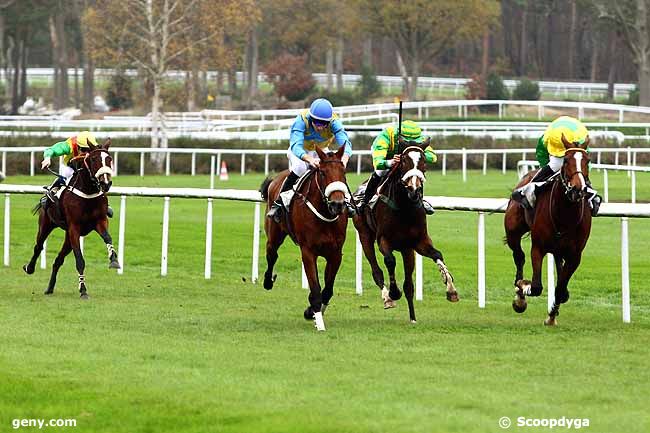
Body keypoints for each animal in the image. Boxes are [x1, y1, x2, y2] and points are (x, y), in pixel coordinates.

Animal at [23, 140, 119, 298]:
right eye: (93, 159)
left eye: (109, 159)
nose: (106, 183)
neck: (88, 193)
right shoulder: (74, 227)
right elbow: (80, 260)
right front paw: (83, 290)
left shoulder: (100, 221)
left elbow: (108, 238)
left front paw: (114, 260)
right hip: (47, 224)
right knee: (39, 246)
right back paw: (29, 268)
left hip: (68, 237)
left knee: (58, 260)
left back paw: (49, 288)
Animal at [256, 145, 350, 330]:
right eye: (322, 173)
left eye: (343, 171)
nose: (337, 204)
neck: (324, 213)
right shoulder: (308, 252)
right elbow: (315, 288)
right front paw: (318, 321)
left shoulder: (335, 253)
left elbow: (327, 289)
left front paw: (311, 311)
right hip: (274, 235)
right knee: (272, 255)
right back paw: (268, 281)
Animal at [352, 137, 458, 322]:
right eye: (403, 161)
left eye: (423, 162)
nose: (414, 189)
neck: (404, 208)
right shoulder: (383, 240)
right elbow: (389, 261)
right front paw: (394, 293)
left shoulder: (418, 242)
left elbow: (437, 255)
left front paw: (451, 289)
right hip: (365, 235)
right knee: (376, 270)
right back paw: (387, 298)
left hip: (407, 250)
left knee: (409, 285)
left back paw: (412, 318)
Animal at [504, 135, 588, 324]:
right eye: (566, 160)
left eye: (588, 161)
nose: (577, 189)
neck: (565, 215)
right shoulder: (538, 247)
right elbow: (535, 287)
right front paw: (521, 293)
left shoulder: (575, 256)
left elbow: (561, 291)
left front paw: (551, 316)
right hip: (512, 231)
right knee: (519, 256)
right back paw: (519, 291)